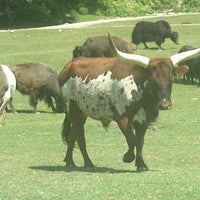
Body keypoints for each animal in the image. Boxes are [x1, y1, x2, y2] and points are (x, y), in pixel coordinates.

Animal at [58, 31, 199, 172]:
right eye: (152, 80)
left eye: (171, 79)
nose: (165, 104)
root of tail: (68, 67)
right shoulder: (122, 117)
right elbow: (132, 139)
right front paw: (128, 157)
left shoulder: (143, 120)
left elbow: (140, 142)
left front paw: (141, 165)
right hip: (73, 109)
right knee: (80, 137)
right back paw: (88, 165)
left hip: (82, 112)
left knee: (72, 135)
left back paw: (70, 162)